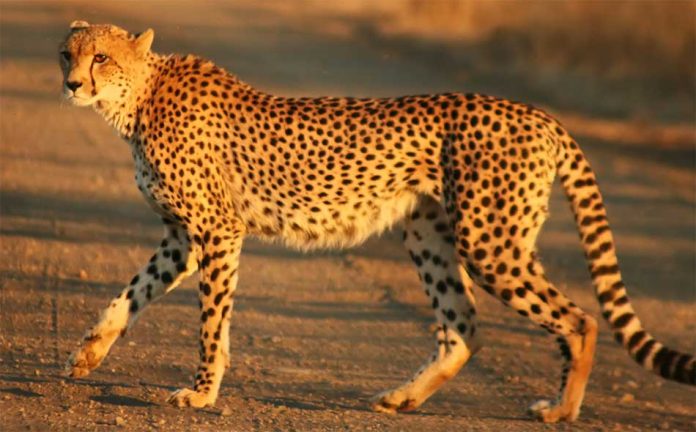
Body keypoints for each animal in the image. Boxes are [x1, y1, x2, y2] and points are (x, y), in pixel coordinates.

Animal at [61, 21, 696, 422]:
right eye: (69, 53)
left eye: (102, 58)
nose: (70, 84)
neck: (137, 98)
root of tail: (537, 112)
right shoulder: (182, 238)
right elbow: (132, 293)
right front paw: (89, 352)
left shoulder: (217, 230)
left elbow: (211, 321)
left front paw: (201, 393)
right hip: (430, 233)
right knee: (463, 327)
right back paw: (404, 399)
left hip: (490, 242)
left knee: (580, 320)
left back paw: (562, 409)